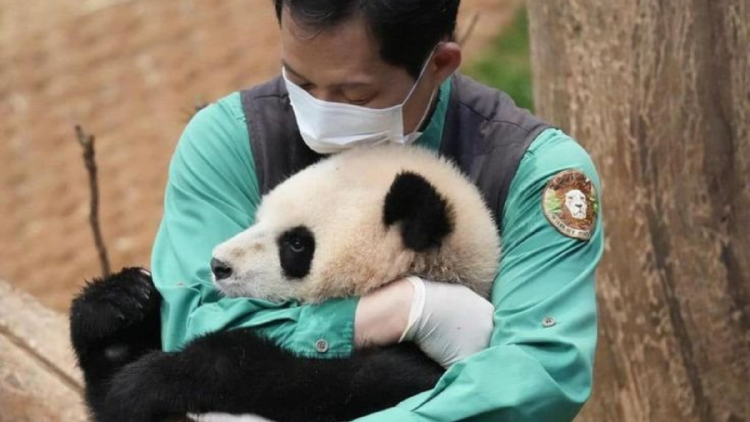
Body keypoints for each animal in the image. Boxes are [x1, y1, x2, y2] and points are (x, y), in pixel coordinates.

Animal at [70, 144, 501, 422]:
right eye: (259, 218)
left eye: (296, 243)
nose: (218, 265)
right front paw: (118, 304)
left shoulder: (418, 370)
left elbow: (331, 385)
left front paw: (151, 380)